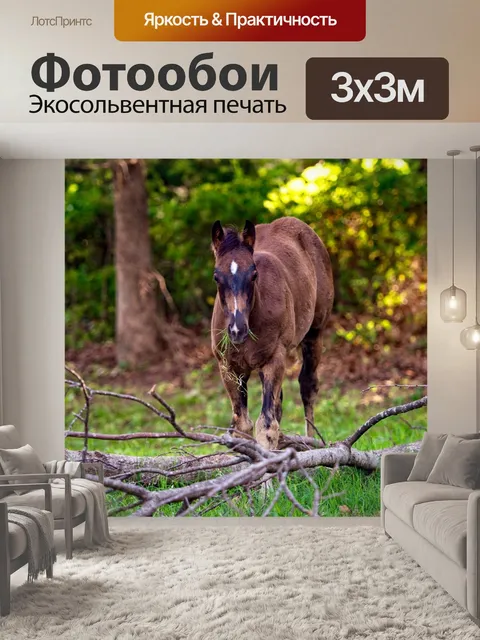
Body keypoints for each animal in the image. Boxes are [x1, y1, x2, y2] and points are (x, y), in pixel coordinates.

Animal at [210, 216, 334, 450]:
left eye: (254, 274)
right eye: (216, 277)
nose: (237, 330)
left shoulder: (275, 358)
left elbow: (266, 425)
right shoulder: (228, 366)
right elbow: (242, 425)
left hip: (314, 334)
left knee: (308, 386)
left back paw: (312, 443)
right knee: (279, 403)